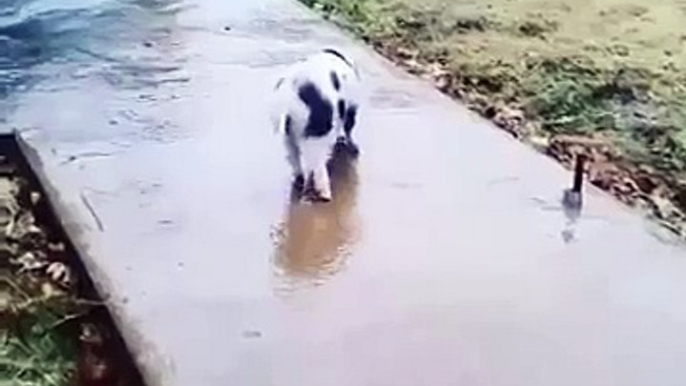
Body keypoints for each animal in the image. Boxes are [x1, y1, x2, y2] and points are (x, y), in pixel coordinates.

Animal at [272, 48, 362, 202]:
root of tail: (293, 88)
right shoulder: (351, 107)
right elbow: (349, 127)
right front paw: (354, 149)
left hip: (288, 135)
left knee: (294, 157)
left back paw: (300, 180)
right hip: (317, 133)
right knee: (317, 163)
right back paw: (325, 194)